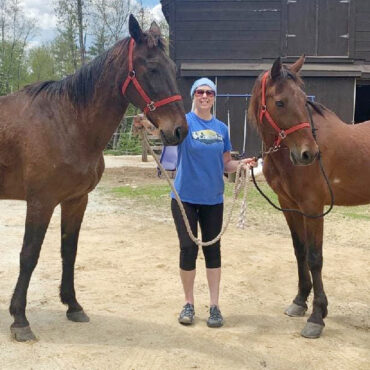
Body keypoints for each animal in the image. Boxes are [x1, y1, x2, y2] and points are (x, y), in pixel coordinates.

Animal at [0, 15, 188, 342]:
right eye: (152, 68)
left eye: (172, 68)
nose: (178, 130)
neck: (67, 122)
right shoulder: (40, 203)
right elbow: (29, 255)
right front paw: (20, 319)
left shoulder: (76, 200)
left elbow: (69, 251)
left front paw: (73, 305)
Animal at [249, 55, 370, 338]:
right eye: (280, 102)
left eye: (304, 100)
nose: (308, 154)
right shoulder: (289, 205)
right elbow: (300, 251)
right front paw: (300, 301)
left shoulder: (313, 207)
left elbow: (316, 258)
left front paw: (317, 317)